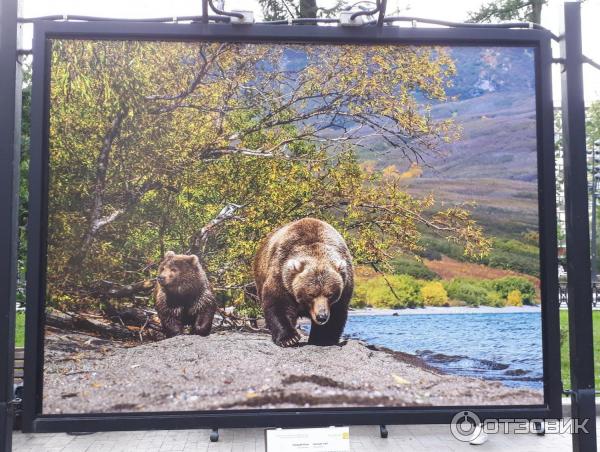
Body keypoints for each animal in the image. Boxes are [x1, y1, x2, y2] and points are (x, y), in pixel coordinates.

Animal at [252, 218, 352, 346]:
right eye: (311, 294)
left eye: (330, 294)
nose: (321, 317)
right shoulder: (282, 277)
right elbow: (278, 304)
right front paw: (289, 338)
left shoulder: (345, 287)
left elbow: (336, 313)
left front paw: (322, 339)